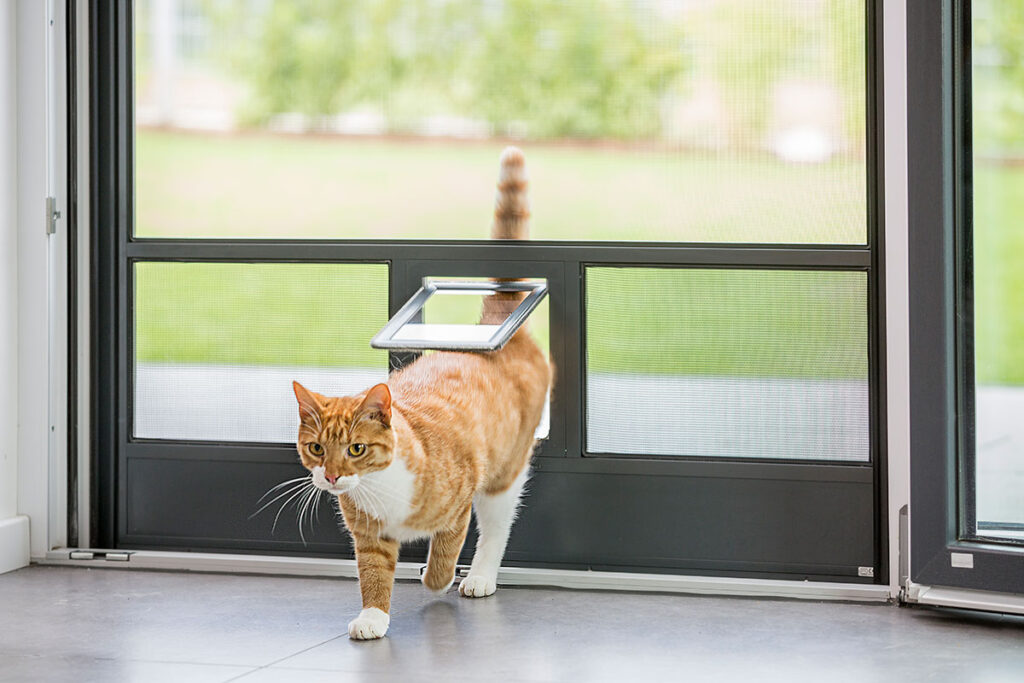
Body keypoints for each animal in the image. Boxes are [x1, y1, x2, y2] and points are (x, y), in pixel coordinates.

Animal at [290, 148, 552, 643]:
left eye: (356, 449)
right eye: (315, 449)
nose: (331, 477)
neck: (382, 488)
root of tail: (493, 326)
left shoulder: (461, 497)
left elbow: (447, 546)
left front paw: (436, 577)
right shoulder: (369, 539)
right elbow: (373, 576)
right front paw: (374, 616)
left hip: (504, 475)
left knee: (496, 528)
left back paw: (479, 576)